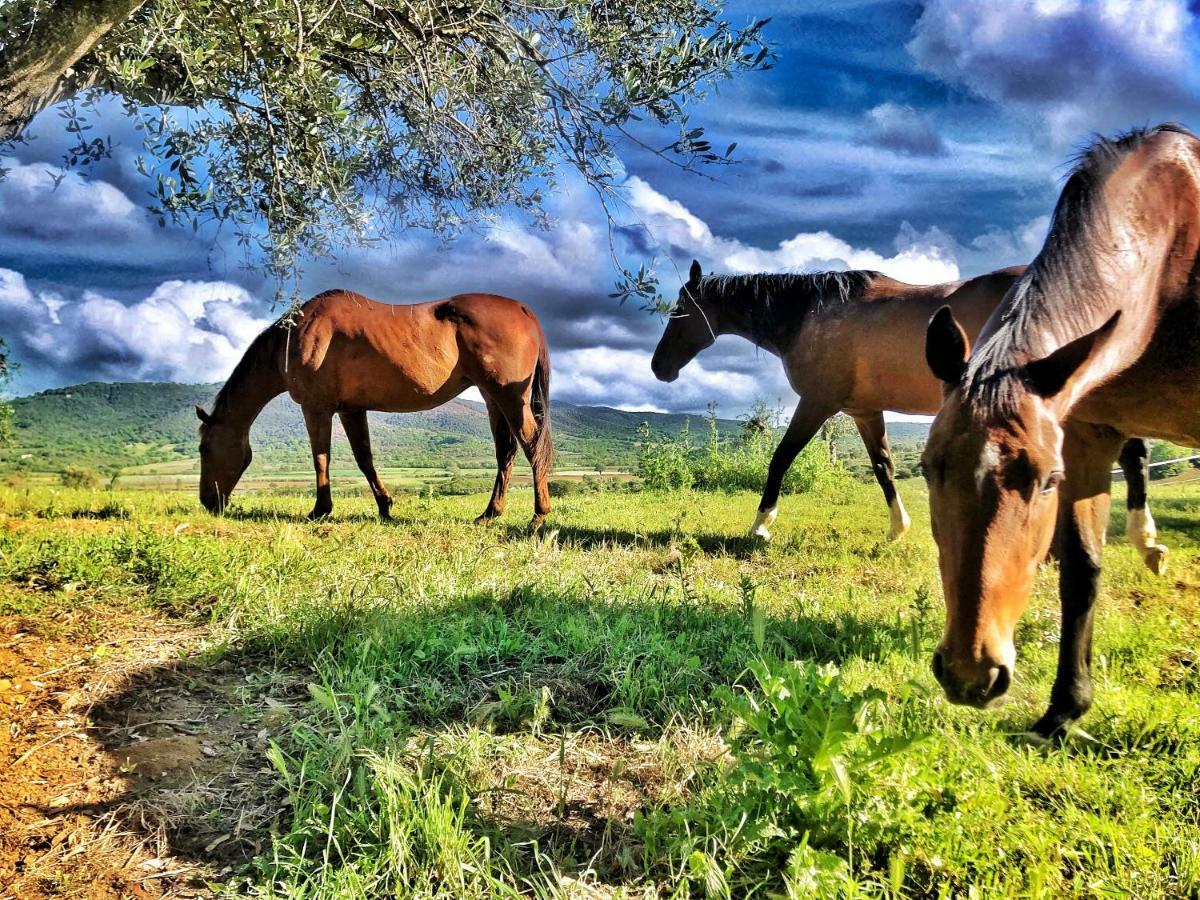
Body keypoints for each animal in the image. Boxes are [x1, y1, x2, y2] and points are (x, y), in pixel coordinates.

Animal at [195, 289, 552, 528]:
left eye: (204, 449)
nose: (208, 503)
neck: (296, 336)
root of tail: (523, 310)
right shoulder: (351, 410)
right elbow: (363, 458)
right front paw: (385, 506)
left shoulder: (316, 408)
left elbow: (320, 458)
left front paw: (320, 510)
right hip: (494, 399)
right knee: (506, 452)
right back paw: (490, 513)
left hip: (509, 398)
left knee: (532, 447)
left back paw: (538, 516)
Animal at [648, 260, 1161, 571]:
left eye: (679, 312)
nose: (659, 368)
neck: (809, 315)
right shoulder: (863, 411)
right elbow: (884, 468)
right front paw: (898, 529)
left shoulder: (816, 403)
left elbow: (781, 458)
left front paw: (760, 526)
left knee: (1130, 451)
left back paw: (1144, 539)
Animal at [916, 121, 1200, 739]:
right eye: (927, 470)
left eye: (1048, 480)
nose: (971, 674)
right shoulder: (1090, 436)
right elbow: (1081, 573)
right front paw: (1064, 709)